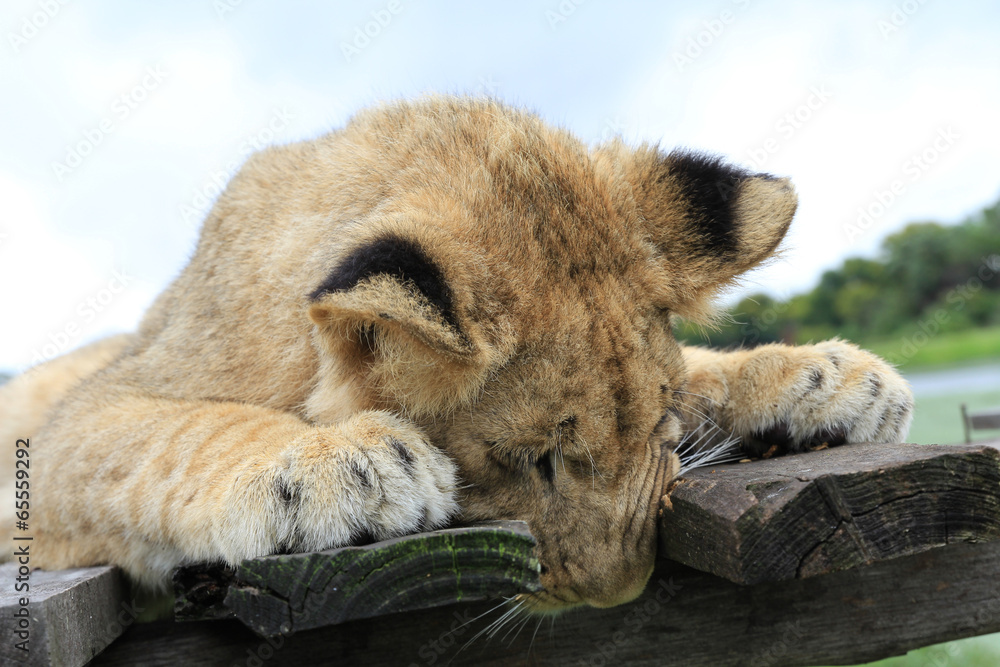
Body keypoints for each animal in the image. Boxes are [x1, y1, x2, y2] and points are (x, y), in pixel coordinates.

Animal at [0, 96, 913, 611]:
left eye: (661, 432)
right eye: (525, 458)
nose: (616, 595)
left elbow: (695, 370)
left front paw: (834, 380)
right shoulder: (87, 414)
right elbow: (167, 433)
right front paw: (343, 464)